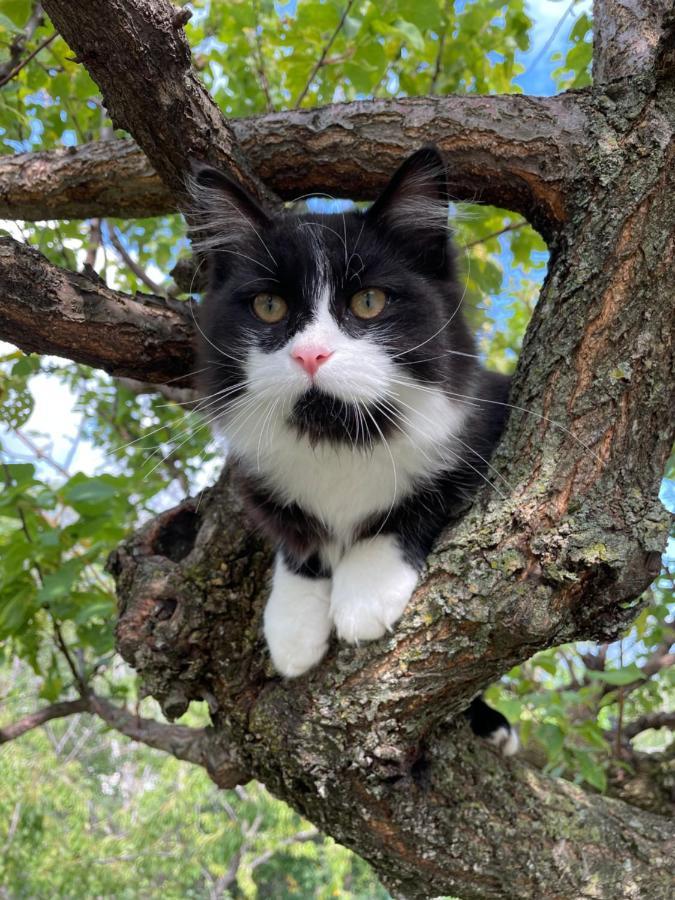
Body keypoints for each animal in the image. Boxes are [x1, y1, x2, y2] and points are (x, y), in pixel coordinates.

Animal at [187, 148, 520, 752]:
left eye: (368, 302)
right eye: (268, 306)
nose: (311, 355)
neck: (342, 440)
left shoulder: (487, 422)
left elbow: (416, 503)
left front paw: (365, 592)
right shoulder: (261, 483)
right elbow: (297, 541)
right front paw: (292, 625)